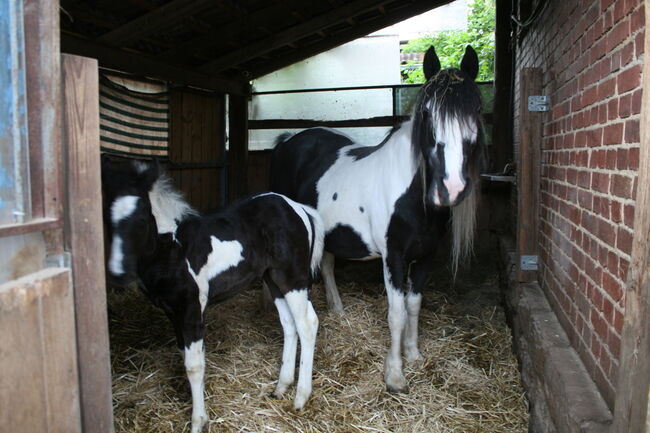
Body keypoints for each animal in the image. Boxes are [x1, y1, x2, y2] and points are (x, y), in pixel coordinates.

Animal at [101, 159, 322, 432]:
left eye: (141, 217)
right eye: (107, 217)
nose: (118, 273)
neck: (173, 248)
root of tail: (298, 208)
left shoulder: (192, 310)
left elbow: (195, 366)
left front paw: (198, 422)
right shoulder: (173, 313)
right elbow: (187, 356)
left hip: (293, 279)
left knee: (307, 324)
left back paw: (300, 398)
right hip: (273, 280)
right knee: (289, 324)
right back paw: (281, 388)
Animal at [266, 45, 484, 394]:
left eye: (476, 109)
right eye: (427, 114)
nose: (450, 189)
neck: (409, 193)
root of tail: (287, 140)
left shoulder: (426, 256)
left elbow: (414, 306)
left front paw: (414, 355)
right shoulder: (393, 257)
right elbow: (396, 313)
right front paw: (394, 374)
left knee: (327, 265)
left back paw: (338, 310)